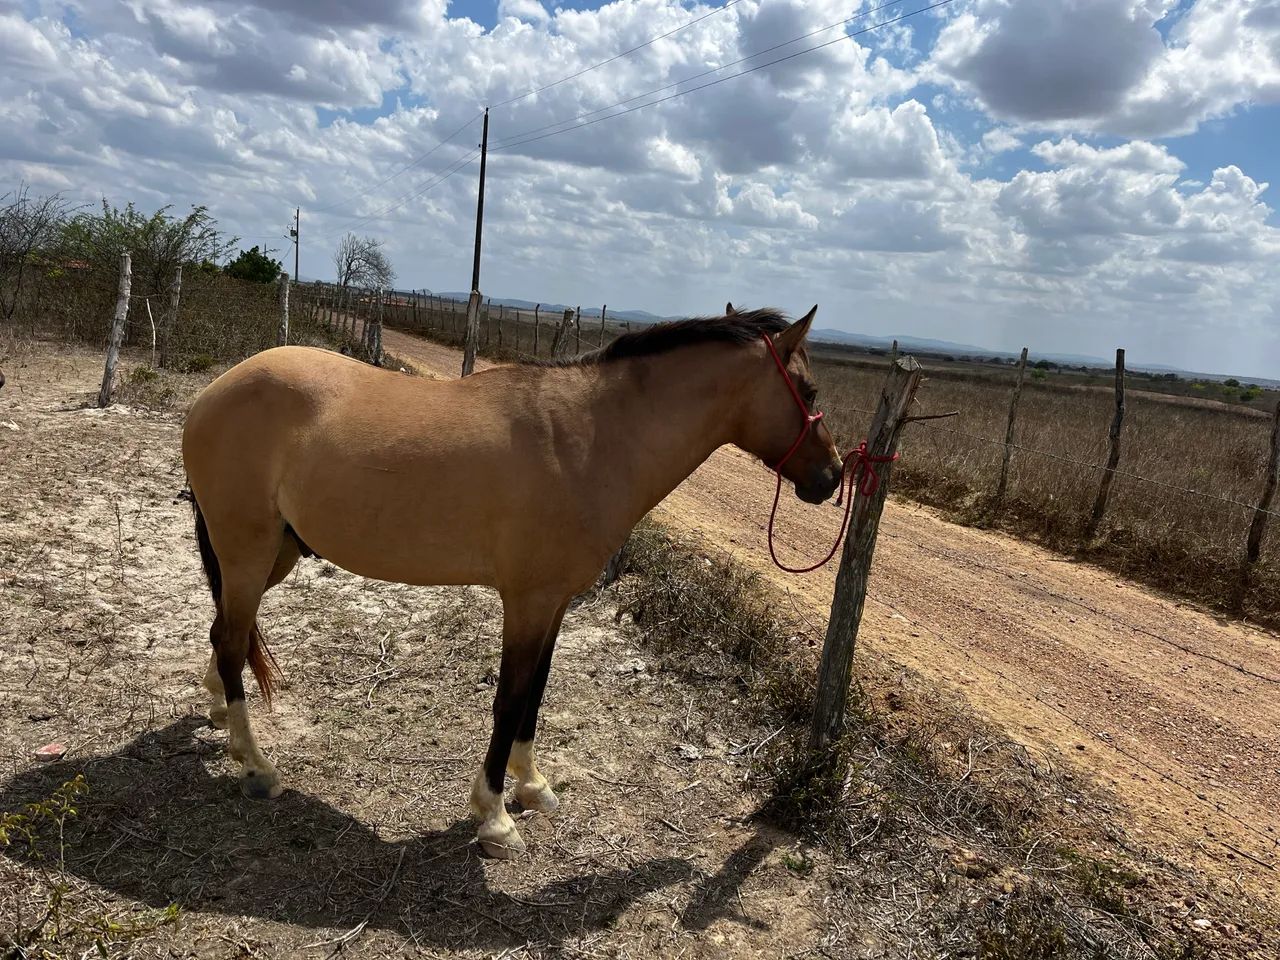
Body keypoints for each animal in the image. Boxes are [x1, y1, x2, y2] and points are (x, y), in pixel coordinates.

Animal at [181, 304, 843, 858]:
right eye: (809, 390)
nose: (833, 477)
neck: (589, 438)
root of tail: (215, 391)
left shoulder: (554, 603)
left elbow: (537, 692)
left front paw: (533, 785)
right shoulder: (526, 602)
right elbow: (509, 698)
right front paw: (495, 816)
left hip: (275, 555)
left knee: (221, 633)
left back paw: (217, 714)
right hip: (248, 553)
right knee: (234, 644)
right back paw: (255, 766)